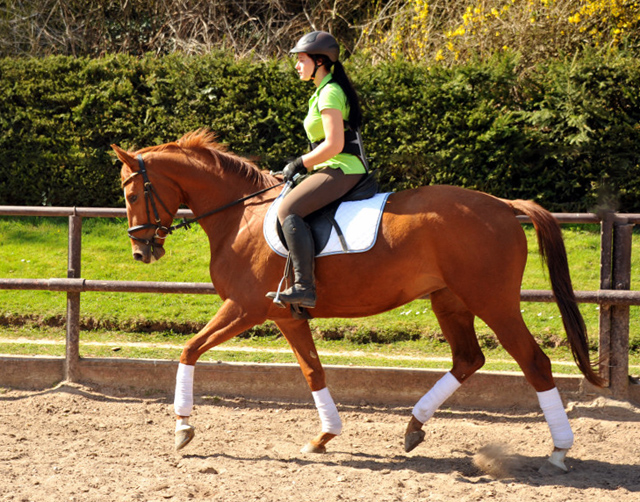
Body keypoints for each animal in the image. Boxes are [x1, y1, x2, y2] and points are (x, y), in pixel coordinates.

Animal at [111, 129, 604, 470]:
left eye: (132, 192)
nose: (140, 251)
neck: (240, 217)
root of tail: (504, 205)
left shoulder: (244, 308)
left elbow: (189, 349)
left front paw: (182, 428)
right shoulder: (287, 316)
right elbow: (313, 371)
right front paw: (324, 437)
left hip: (493, 301)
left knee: (533, 362)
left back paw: (559, 451)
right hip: (450, 300)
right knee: (468, 358)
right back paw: (413, 426)